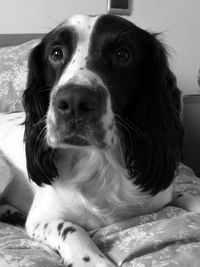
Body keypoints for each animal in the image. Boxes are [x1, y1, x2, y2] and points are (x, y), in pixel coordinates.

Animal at [0, 14, 198, 267]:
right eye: (56, 53)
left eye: (122, 54)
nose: (74, 102)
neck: (101, 162)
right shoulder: (41, 218)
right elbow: (73, 229)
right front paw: (93, 259)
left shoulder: (162, 195)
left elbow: (187, 197)